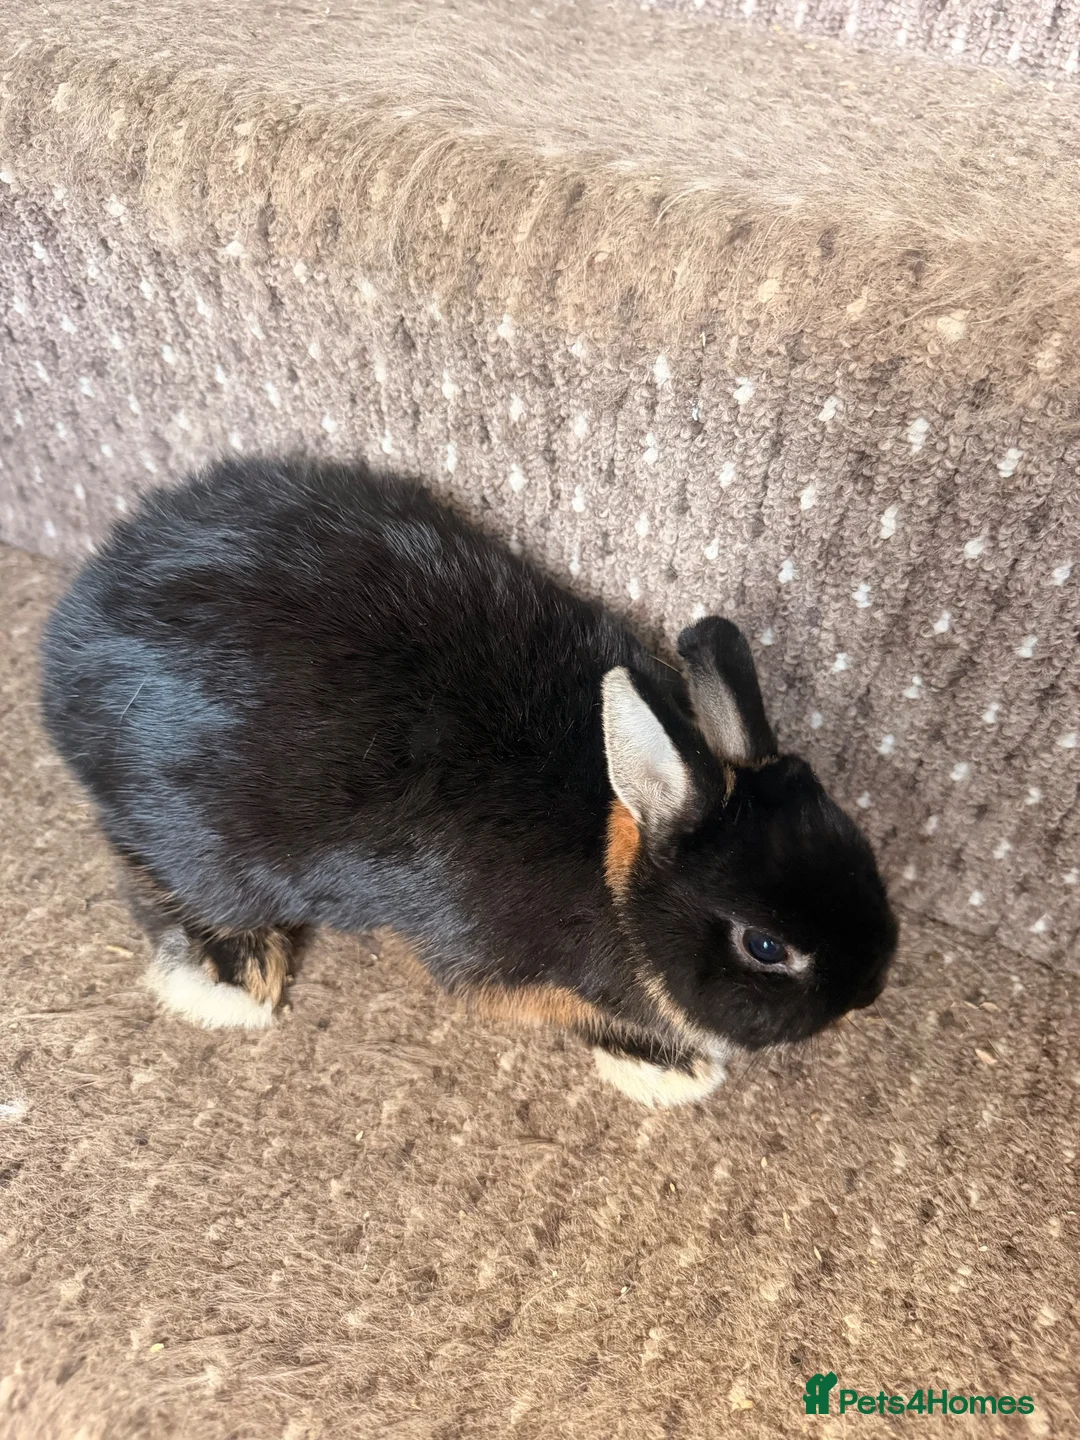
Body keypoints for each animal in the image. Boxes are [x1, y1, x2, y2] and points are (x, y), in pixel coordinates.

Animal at [40, 456, 897, 1107]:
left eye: (859, 849)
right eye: (765, 945)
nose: (870, 989)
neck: (612, 861)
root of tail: (67, 648)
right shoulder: (502, 974)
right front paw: (674, 1069)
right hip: (208, 847)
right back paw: (229, 975)